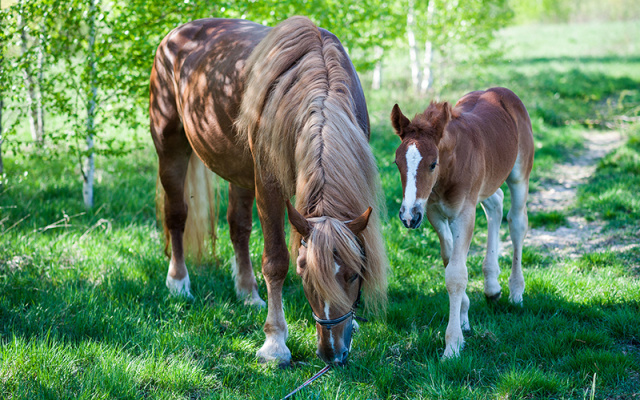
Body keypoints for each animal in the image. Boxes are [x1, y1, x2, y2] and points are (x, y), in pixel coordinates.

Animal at [150, 16, 388, 366]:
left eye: (354, 275)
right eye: (304, 274)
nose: (332, 353)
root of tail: (176, 34)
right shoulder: (269, 188)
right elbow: (275, 261)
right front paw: (275, 342)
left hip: (238, 168)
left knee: (238, 227)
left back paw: (247, 292)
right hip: (171, 150)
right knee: (177, 214)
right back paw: (178, 282)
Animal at [390, 88, 536, 360]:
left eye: (432, 163)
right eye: (397, 164)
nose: (408, 216)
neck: (450, 169)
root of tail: (501, 91)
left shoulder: (464, 214)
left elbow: (456, 274)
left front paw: (452, 345)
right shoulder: (434, 213)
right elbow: (449, 261)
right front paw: (464, 316)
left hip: (520, 173)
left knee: (517, 221)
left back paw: (516, 291)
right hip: (487, 182)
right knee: (496, 204)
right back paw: (492, 286)